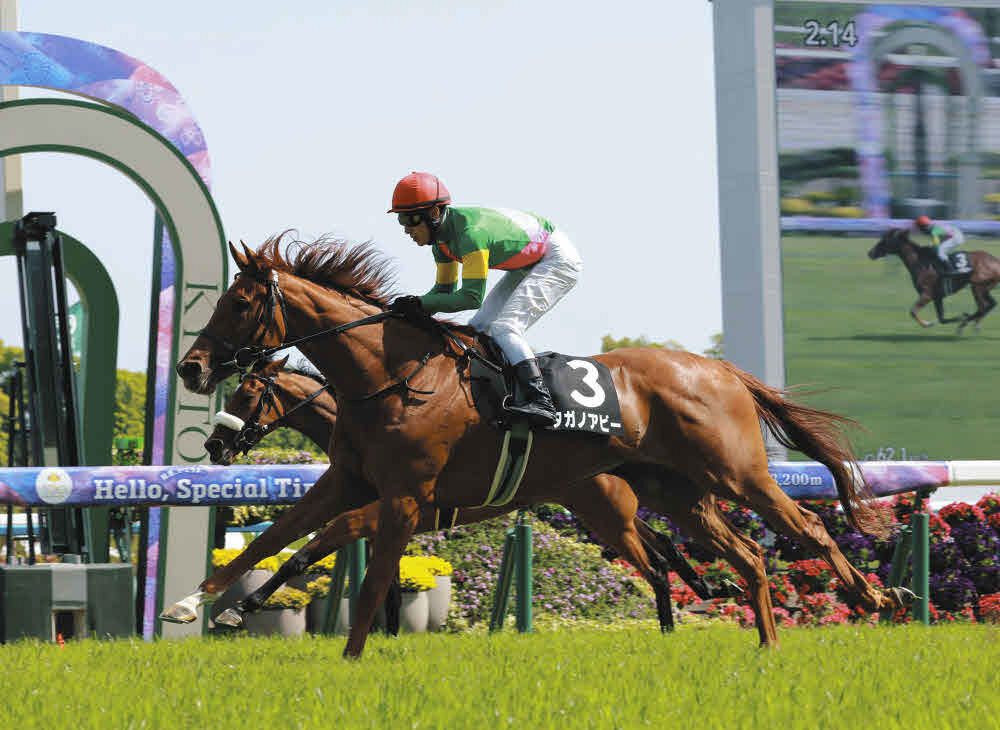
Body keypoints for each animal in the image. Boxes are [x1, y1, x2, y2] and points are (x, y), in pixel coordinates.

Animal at [165, 356, 732, 631]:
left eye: (248, 394)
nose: (214, 444)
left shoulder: (378, 512)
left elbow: (306, 553)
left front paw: (241, 608)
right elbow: (376, 576)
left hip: (604, 512)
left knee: (654, 557)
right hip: (601, 509)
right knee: (661, 545)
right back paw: (703, 590)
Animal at [868, 228, 1000, 331]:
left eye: (884, 241)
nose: (870, 253)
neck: (920, 262)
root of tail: (995, 261)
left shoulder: (927, 294)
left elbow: (913, 311)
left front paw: (927, 324)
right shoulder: (937, 297)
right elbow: (942, 319)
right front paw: (956, 318)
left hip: (977, 287)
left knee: (982, 307)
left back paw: (964, 324)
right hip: (984, 288)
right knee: (991, 304)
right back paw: (972, 323)